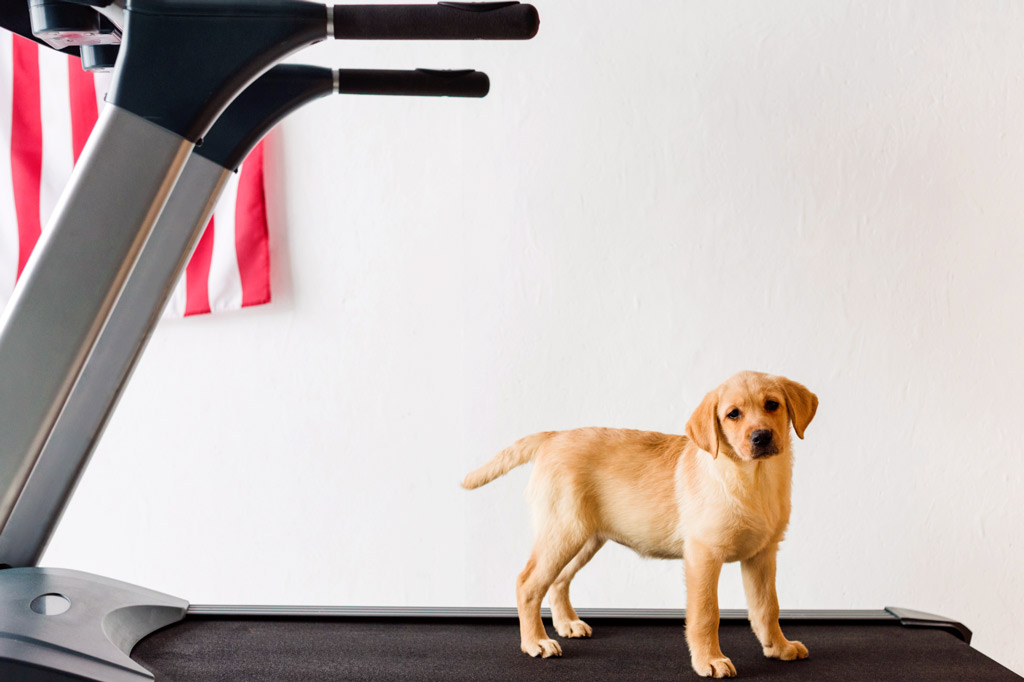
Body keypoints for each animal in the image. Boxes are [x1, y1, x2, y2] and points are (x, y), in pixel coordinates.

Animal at [464, 372, 815, 675]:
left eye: (772, 404)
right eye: (733, 414)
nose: (761, 437)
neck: (754, 479)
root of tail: (554, 436)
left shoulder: (763, 554)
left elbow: (768, 607)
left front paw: (778, 647)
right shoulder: (703, 555)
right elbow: (706, 613)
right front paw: (710, 660)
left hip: (583, 537)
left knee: (558, 581)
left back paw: (567, 624)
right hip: (562, 532)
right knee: (527, 583)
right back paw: (535, 641)